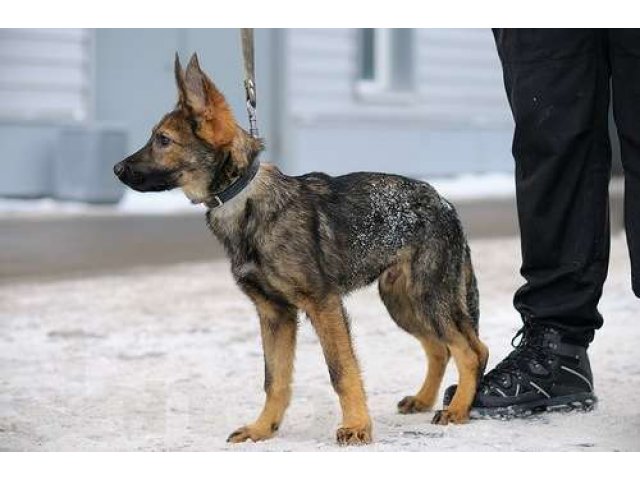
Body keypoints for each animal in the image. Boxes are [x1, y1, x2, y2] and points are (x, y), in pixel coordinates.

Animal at [114, 53, 490, 446]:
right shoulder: (274, 314)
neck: (244, 199)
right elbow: (274, 379)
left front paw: (356, 426)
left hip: (427, 296)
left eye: (163, 140)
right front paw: (263, 428)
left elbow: (341, 370)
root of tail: (443, 201)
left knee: (471, 350)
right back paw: (424, 399)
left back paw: (457, 409)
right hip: (402, 303)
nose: (116, 169)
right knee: (439, 348)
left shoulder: (323, 305)